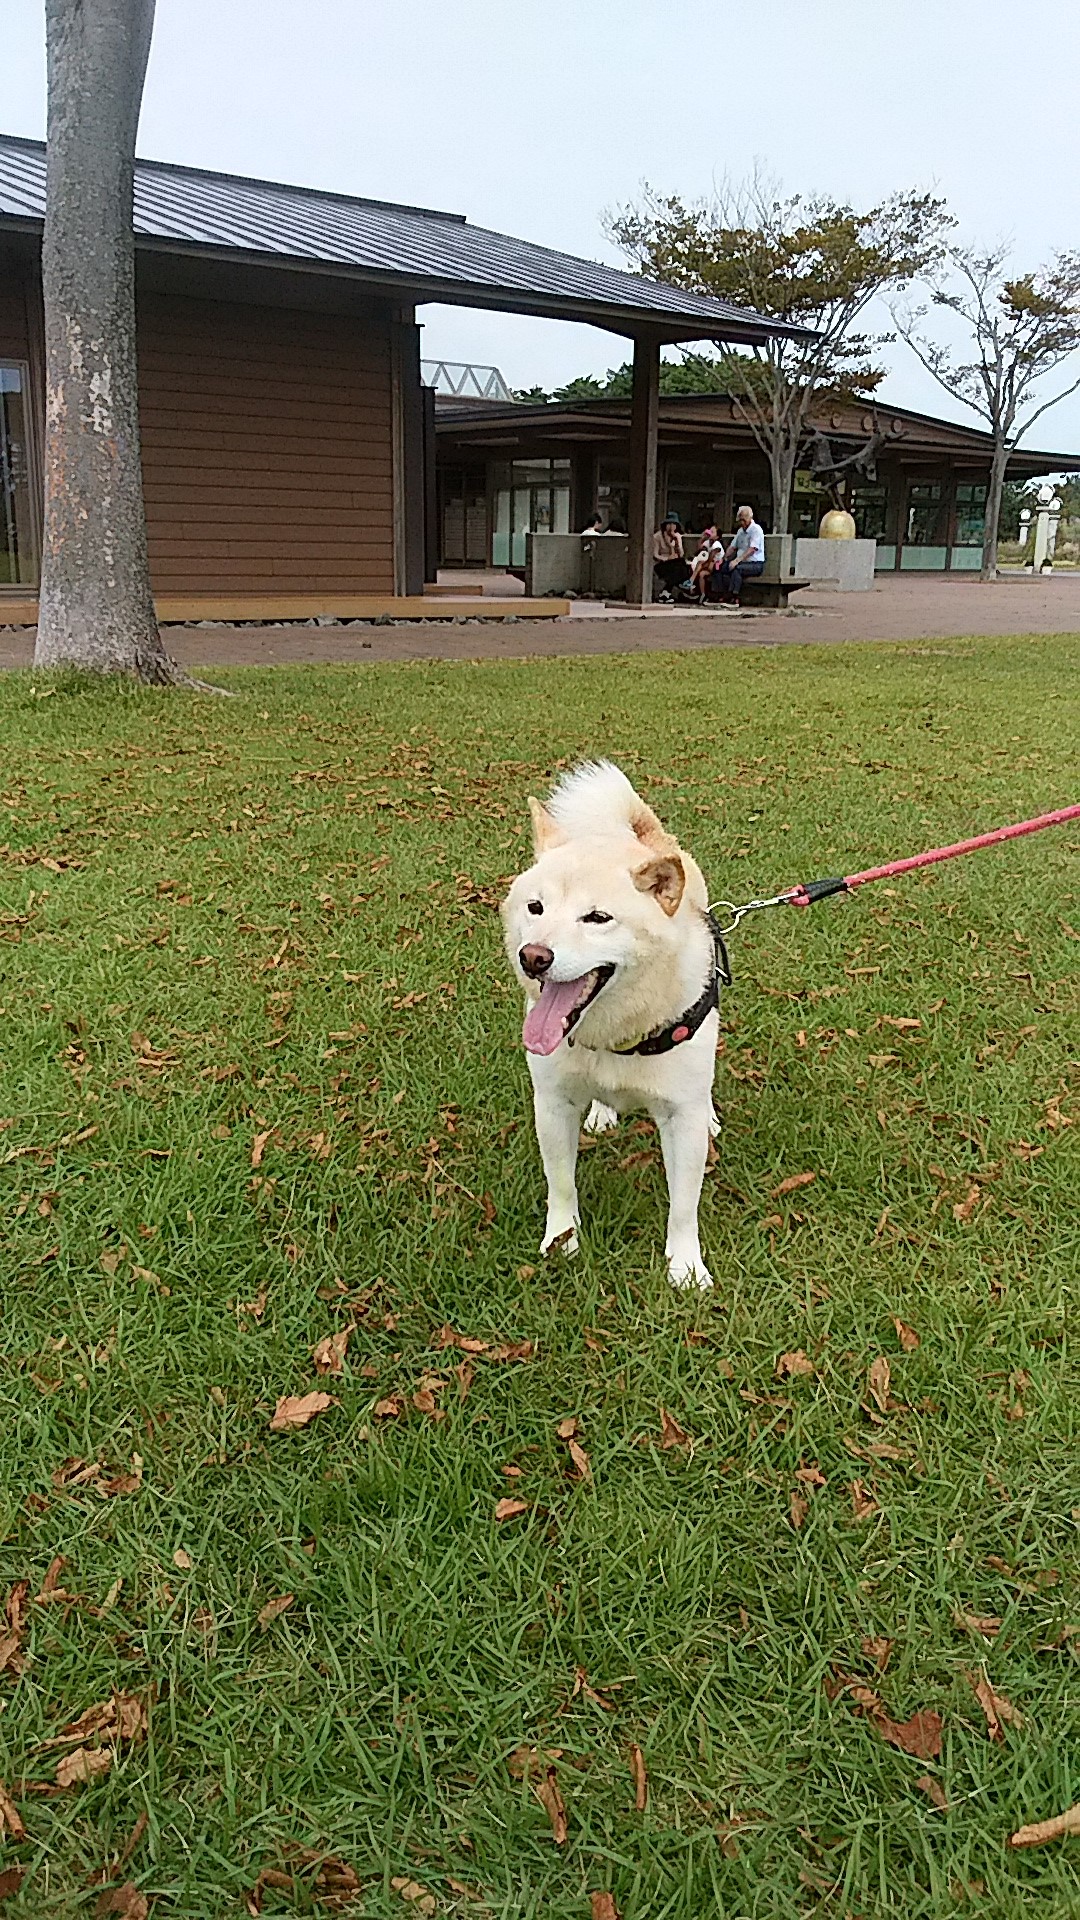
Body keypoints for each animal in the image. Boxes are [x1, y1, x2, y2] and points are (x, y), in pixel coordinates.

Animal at [499, 756, 718, 1282]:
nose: (532, 957)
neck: (617, 1034)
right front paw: (562, 1242)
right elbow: (561, 1186)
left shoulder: (681, 1117)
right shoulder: (552, 1104)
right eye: (535, 907)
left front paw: (685, 1267)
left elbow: (684, 1205)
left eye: (597, 918)